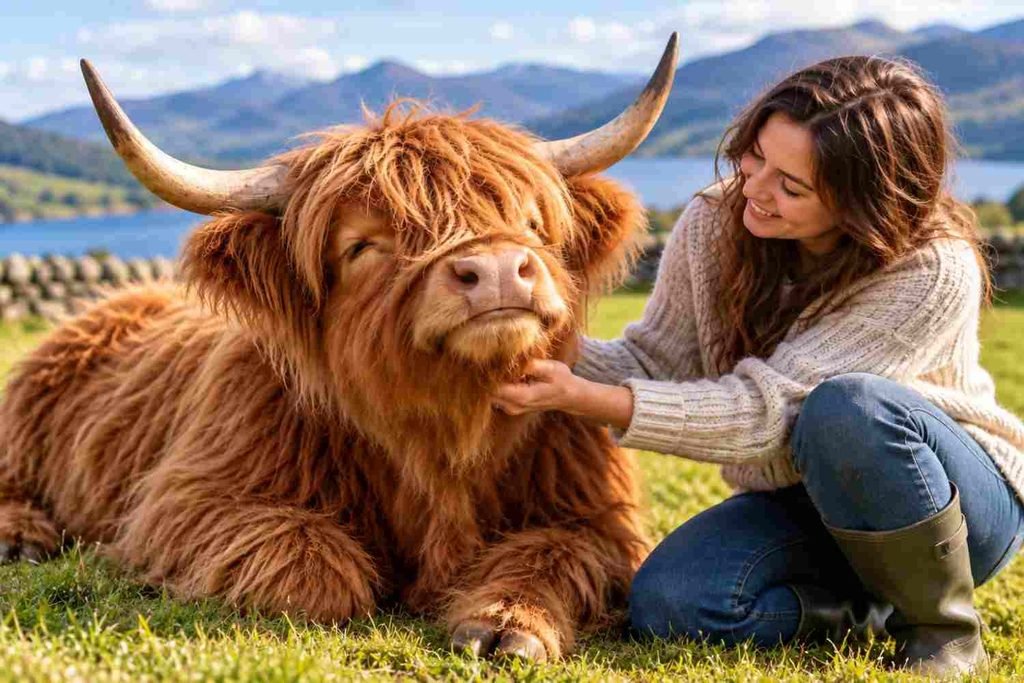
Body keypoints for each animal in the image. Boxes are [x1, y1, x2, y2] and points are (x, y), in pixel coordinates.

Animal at [0, 35, 678, 661]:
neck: (444, 442)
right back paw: (21, 536)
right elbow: (318, 569)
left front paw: (508, 622)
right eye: (362, 246)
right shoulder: (187, 500)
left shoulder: (595, 519)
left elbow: (552, 553)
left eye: (533, 223)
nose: (496, 270)